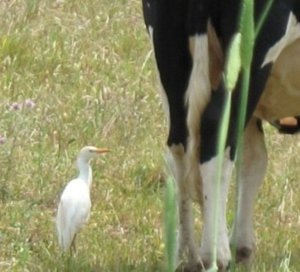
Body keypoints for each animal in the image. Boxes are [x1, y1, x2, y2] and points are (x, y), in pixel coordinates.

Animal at [142, 0, 300, 270]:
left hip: (170, 54)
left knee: (179, 148)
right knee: (214, 127)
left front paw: (242, 245)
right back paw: (215, 254)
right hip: (250, 53)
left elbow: (253, 161)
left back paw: (187, 253)